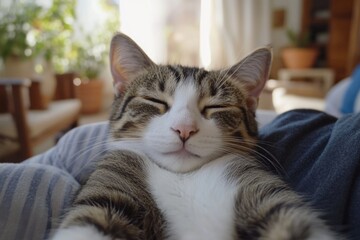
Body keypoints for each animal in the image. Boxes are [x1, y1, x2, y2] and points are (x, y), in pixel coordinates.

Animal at [51, 33, 340, 240]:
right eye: (155, 100)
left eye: (216, 106)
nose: (184, 129)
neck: (183, 179)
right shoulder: (114, 177)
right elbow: (91, 220)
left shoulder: (259, 189)